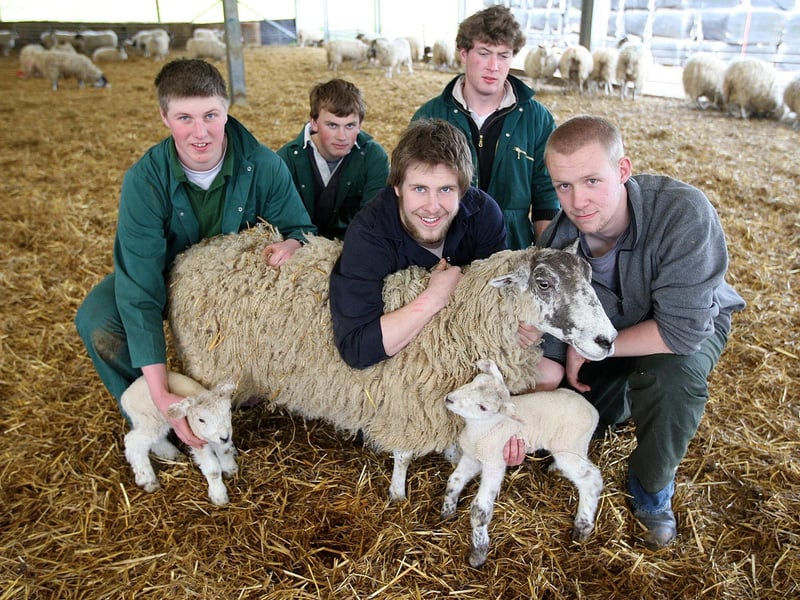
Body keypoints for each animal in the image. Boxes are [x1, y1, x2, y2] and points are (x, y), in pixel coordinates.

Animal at [121, 372, 237, 506]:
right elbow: (212, 471)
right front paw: (219, 497)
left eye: (229, 410)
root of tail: (125, 396)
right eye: (201, 420)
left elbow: (225, 452)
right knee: (133, 441)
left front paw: (231, 469)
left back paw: (172, 454)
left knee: (153, 441)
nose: (225, 437)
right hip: (151, 420)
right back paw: (147, 480)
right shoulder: (197, 441)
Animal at [167, 226, 617, 502]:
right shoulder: (405, 399)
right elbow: (402, 454)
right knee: (204, 427)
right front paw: (398, 493)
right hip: (208, 369)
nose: (607, 341)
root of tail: (197, 252)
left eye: (589, 278)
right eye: (543, 283)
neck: (455, 319)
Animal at [442, 359, 603, 567]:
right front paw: (447, 511)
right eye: (474, 380)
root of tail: (593, 411)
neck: (481, 429)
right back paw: (555, 470)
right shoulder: (472, 458)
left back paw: (582, 527)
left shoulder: (494, 462)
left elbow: (480, 511)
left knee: (591, 478)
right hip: (578, 445)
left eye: (483, 407)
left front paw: (478, 554)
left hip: (568, 445)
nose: (449, 399)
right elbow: (454, 481)